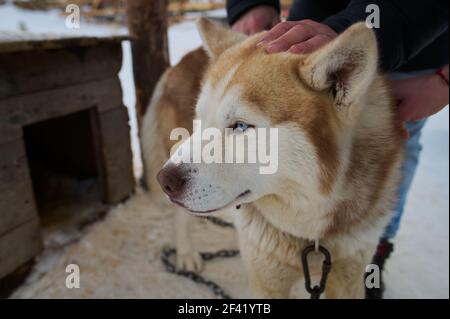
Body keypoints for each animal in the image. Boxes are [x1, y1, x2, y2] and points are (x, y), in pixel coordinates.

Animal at [142, 18, 402, 298]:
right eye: (200, 120)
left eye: (241, 126)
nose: (164, 181)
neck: (312, 233)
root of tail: (181, 60)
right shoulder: (266, 278)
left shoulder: (349, 275)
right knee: (180, 217)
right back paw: (186, 254)